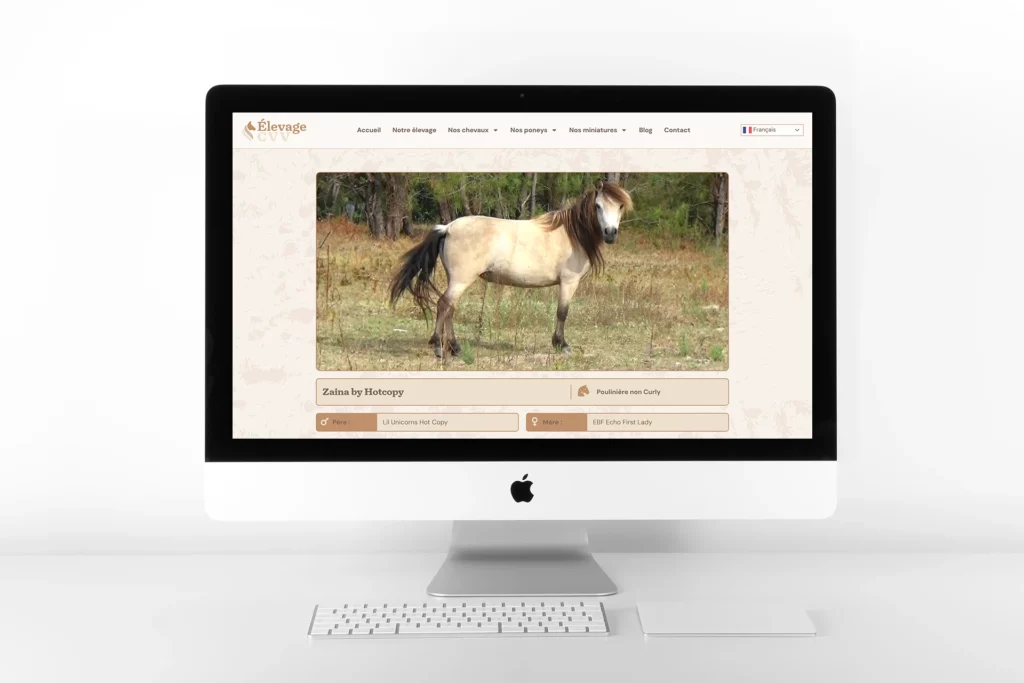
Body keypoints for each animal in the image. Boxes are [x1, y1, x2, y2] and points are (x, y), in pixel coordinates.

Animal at [388, 179, 633, 359]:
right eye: (598, 206)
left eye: (620, 206)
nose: (610, 233)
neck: (572, 234)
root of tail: (447, 227)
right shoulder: (569, 282)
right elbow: (562, 312)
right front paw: (561, 344)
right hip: (460, 280)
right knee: (444, 305)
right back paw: (441, 348)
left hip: (457, 280)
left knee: (449, 308)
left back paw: (454, 348)